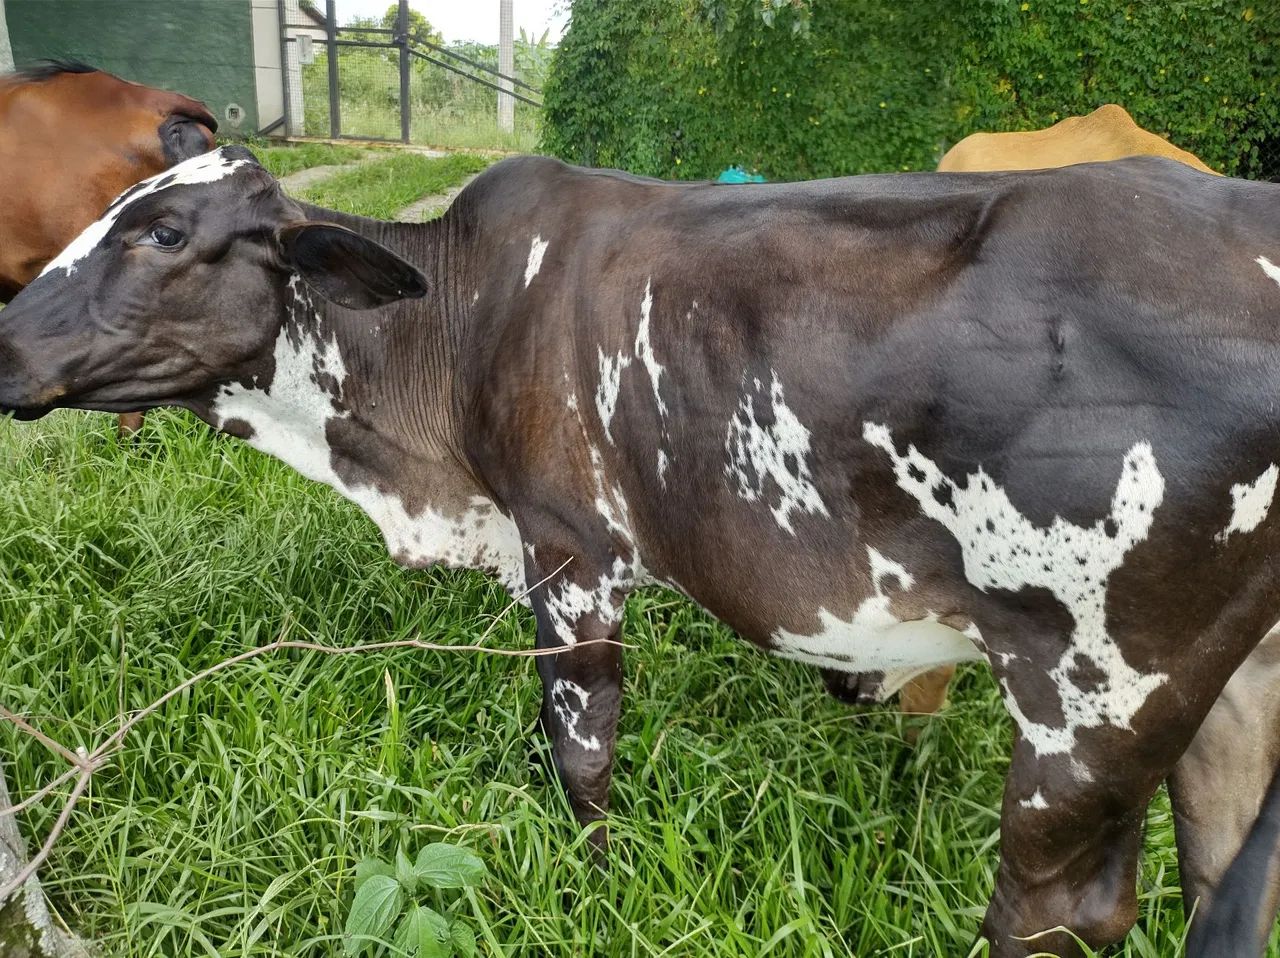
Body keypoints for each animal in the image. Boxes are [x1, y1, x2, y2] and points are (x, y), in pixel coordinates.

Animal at [1, 146, 1278, 956]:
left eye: (165, 231)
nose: (3, 342)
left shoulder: (569, 548)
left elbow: (579, 754)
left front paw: (592, 887)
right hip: (1224, 684)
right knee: (1217, 876)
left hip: (1094, 688)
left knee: (1055, 909)